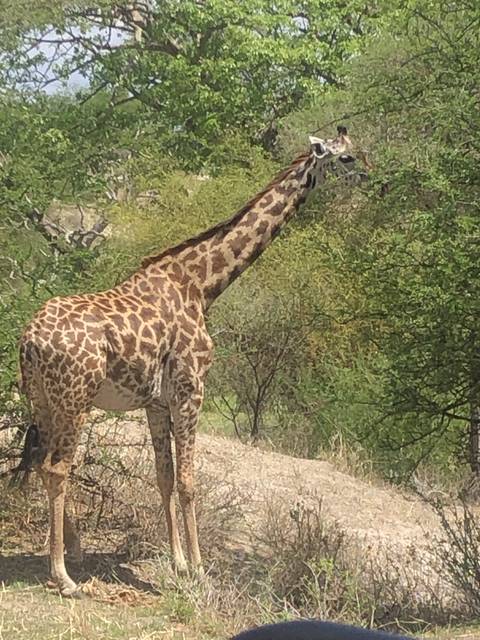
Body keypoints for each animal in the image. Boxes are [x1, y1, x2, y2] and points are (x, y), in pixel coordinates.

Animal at [17, 127, 368, 596]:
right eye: (346, 158)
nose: (372, 178)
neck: (203, 284)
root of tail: (29, 340)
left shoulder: (155, 401)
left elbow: (164, 477)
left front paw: (179, 562)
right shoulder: (191, 388)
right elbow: (188, 480)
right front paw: (200, 568)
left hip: (39, 397)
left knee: (41, 462)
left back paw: (71, 553)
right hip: (75, 398)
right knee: (57, 467)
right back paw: (63, 574)